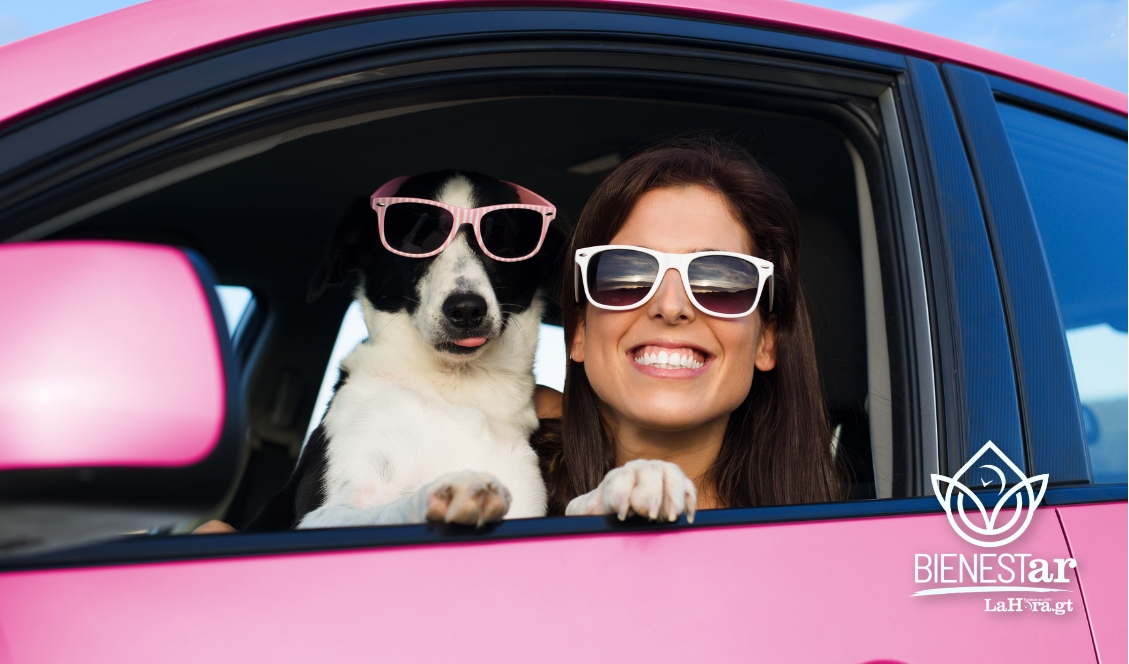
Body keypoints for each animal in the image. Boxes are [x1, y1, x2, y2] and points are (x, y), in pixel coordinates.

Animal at [250, 169, 559, 528]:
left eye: (500, 234)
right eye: (418, 234)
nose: (467, 309)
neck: (454, 389)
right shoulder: (320, 514)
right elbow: (385, 511)